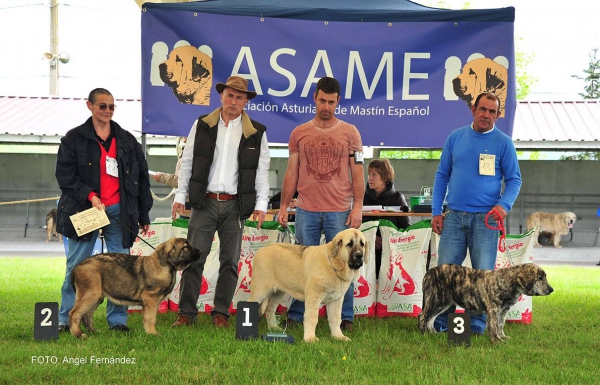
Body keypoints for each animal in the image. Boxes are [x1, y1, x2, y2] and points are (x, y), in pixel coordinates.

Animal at [418, 262, 552, 340]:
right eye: (540, 278)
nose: (552, 290)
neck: (509, 281)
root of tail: (428, 273)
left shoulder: (503, 310)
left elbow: (500, 324)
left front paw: (503, 337)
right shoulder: (494, 309)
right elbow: (493, 326)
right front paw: (496, 340)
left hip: (443, 303)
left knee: (431, 319)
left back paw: (433, 333)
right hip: (436, 300)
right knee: (423, 316)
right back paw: (423, 333)